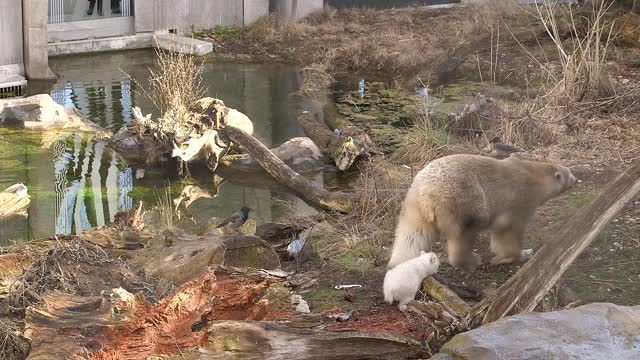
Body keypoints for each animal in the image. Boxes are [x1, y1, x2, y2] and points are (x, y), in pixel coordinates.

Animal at [388, 153, 576, 272]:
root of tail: (426, 194)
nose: (576, 179)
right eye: (569, 173)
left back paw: (399, 265)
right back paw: (471, 261)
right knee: (465, 232)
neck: (534, 174)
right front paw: (520, 255)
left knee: (412, 235)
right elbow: (509, 230)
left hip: (413, 205)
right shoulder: (521, 200)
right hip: (463, 201)